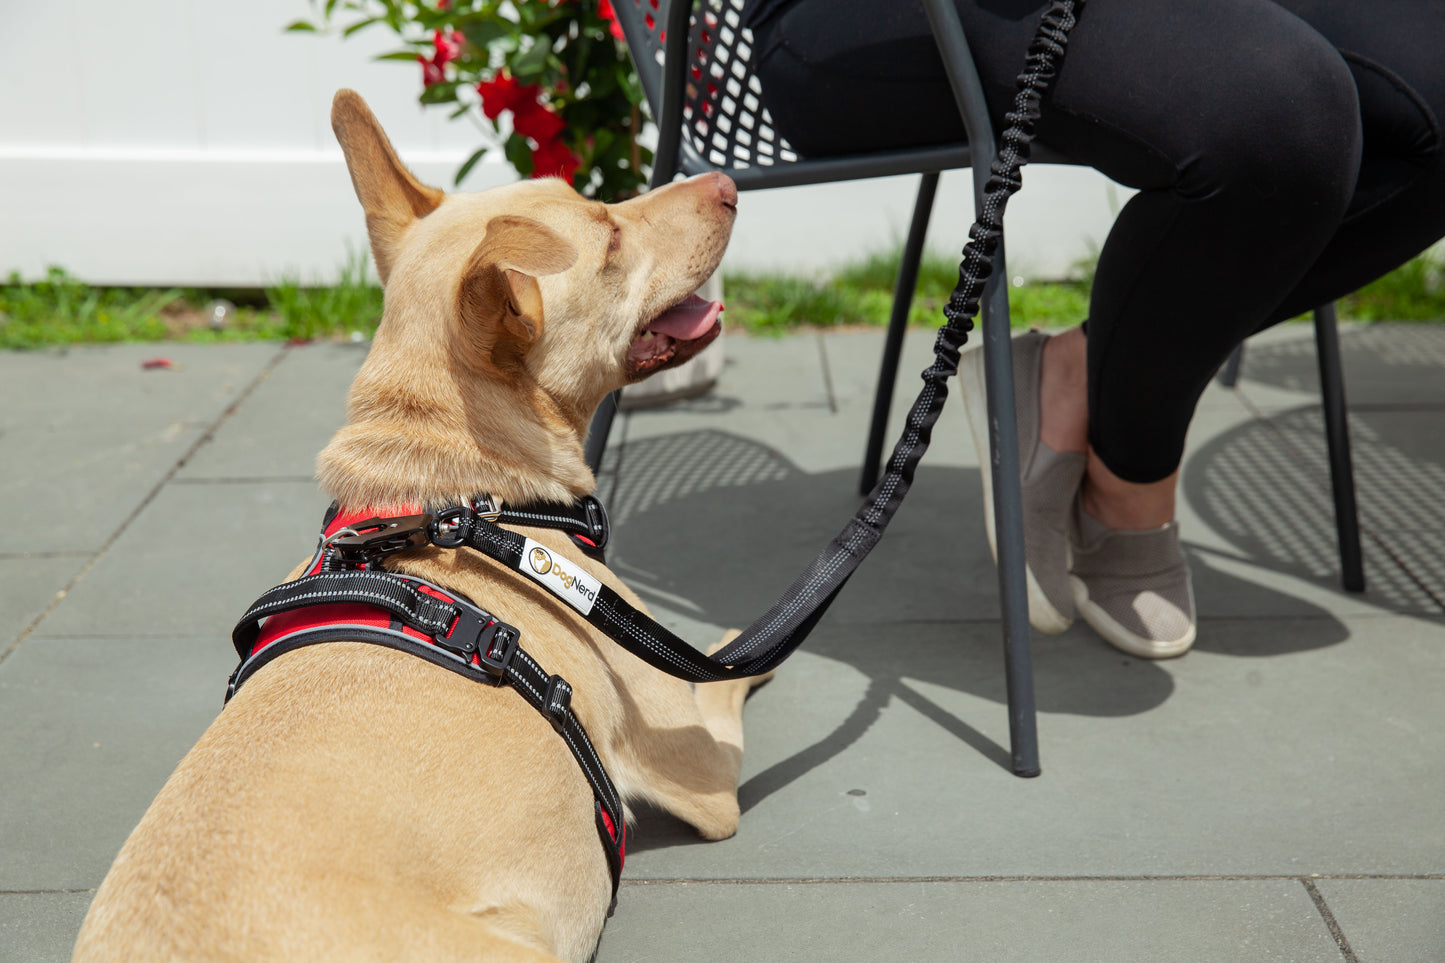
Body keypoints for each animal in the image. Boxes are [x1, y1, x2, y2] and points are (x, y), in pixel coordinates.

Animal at [70, 90, 768, 960]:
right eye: (607, 233)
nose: (726, 181)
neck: (452, 487)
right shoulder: (702, 772)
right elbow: (728, 674)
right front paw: (745, 647)